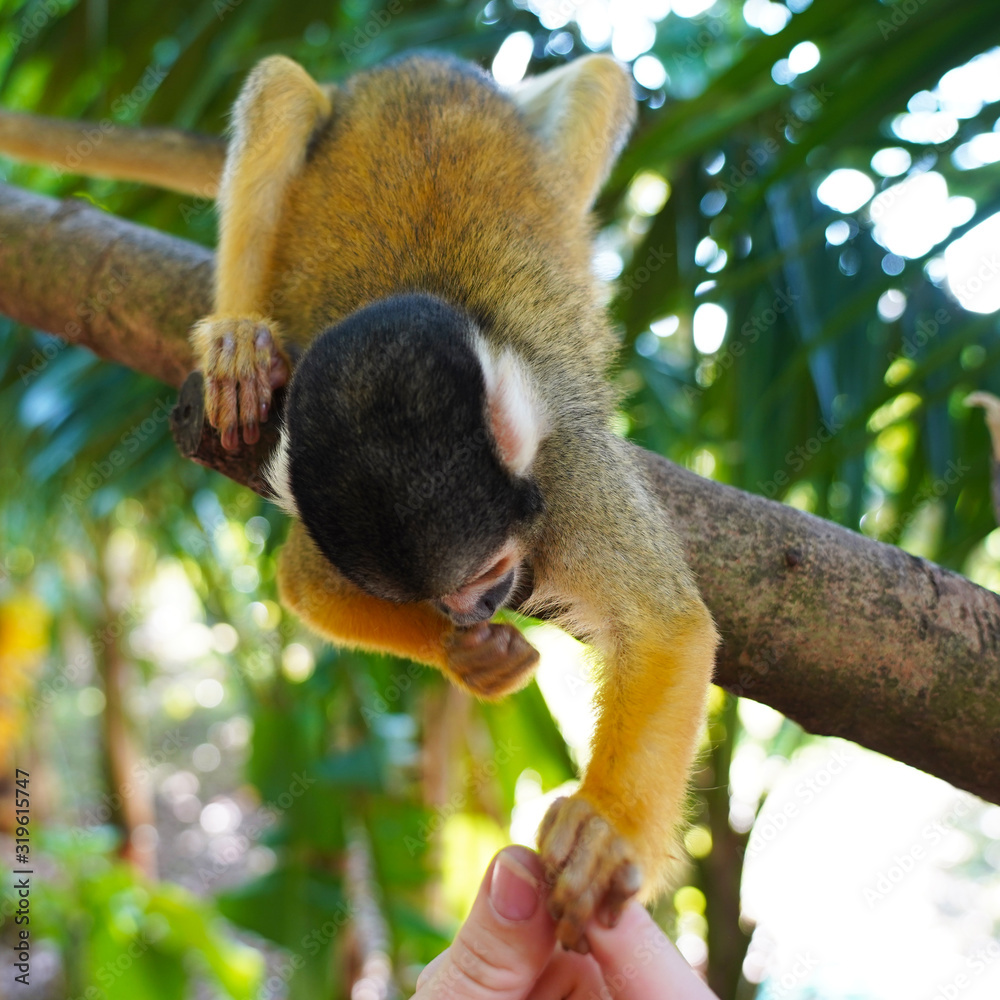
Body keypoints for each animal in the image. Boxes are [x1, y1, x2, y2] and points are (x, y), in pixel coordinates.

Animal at [0, 51, 719, 952]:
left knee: (600, 81)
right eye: (438, 596)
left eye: (488, 570)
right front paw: (468, 657)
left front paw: (607, 829)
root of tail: (414, 63)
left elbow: (666, 626)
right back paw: (241, 336)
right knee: (279, 88)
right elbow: (306, 584)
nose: (474, 610)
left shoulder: (570, 476)